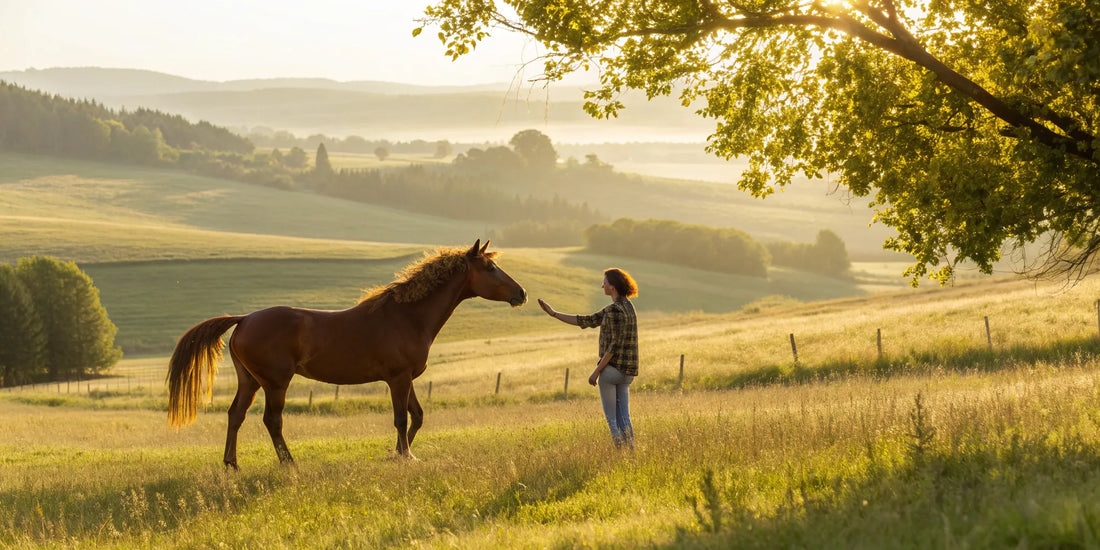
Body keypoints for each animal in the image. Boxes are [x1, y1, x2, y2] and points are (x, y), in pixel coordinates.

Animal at [166, 239, 526, 469]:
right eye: (491, 268)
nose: (521, 293)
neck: (407, 316)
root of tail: (245, 319)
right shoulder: (398, 379)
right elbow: (401, 418)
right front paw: (405, 456)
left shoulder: (406, 379)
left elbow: (417, 416)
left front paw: (398, 453)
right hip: (275, 384)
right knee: (272, 420)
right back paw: (289, 463)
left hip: (250, 381)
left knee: (235, 416)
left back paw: (232, 464)